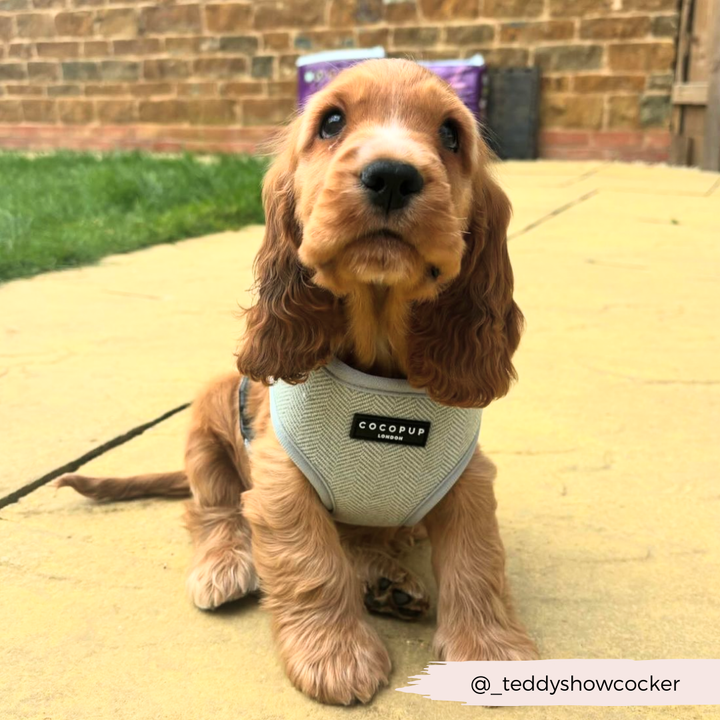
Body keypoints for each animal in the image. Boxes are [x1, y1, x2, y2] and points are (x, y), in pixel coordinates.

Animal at [56, 60, 536, 704]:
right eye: (331, 122)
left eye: (451, 134)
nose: (391, 176)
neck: (378, 360)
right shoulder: (280, 476)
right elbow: (311, 561)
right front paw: (334, 654)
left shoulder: (468, 479)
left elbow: (477, 562)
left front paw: (491, 651)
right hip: (208, 418)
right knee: (212, 511)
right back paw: (226, 565)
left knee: (368, 539)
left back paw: (387, 578)